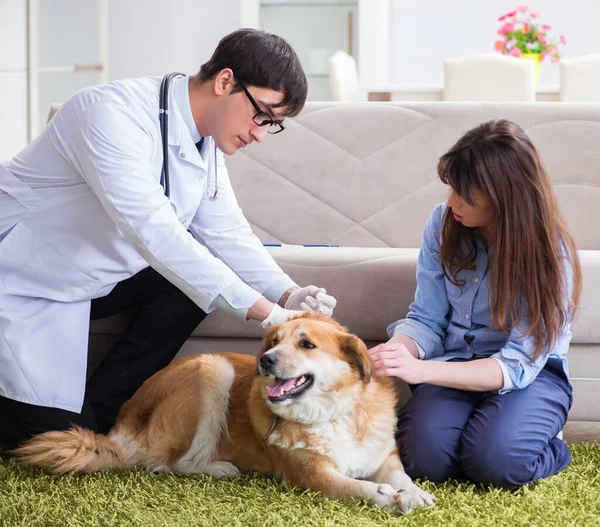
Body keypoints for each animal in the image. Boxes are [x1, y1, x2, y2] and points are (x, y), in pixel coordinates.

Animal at [14, 314, 434, 516]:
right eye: (275, 341)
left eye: (307, 344)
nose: (265, 360)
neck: (334, 412)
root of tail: (127, 417)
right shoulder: (313, 475)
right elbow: (356, 488)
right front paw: (386, 497)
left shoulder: (383, 457)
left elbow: (401, 476)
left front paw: (413, 493)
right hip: (213, 369)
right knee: (171, 464)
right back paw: (218, 468)